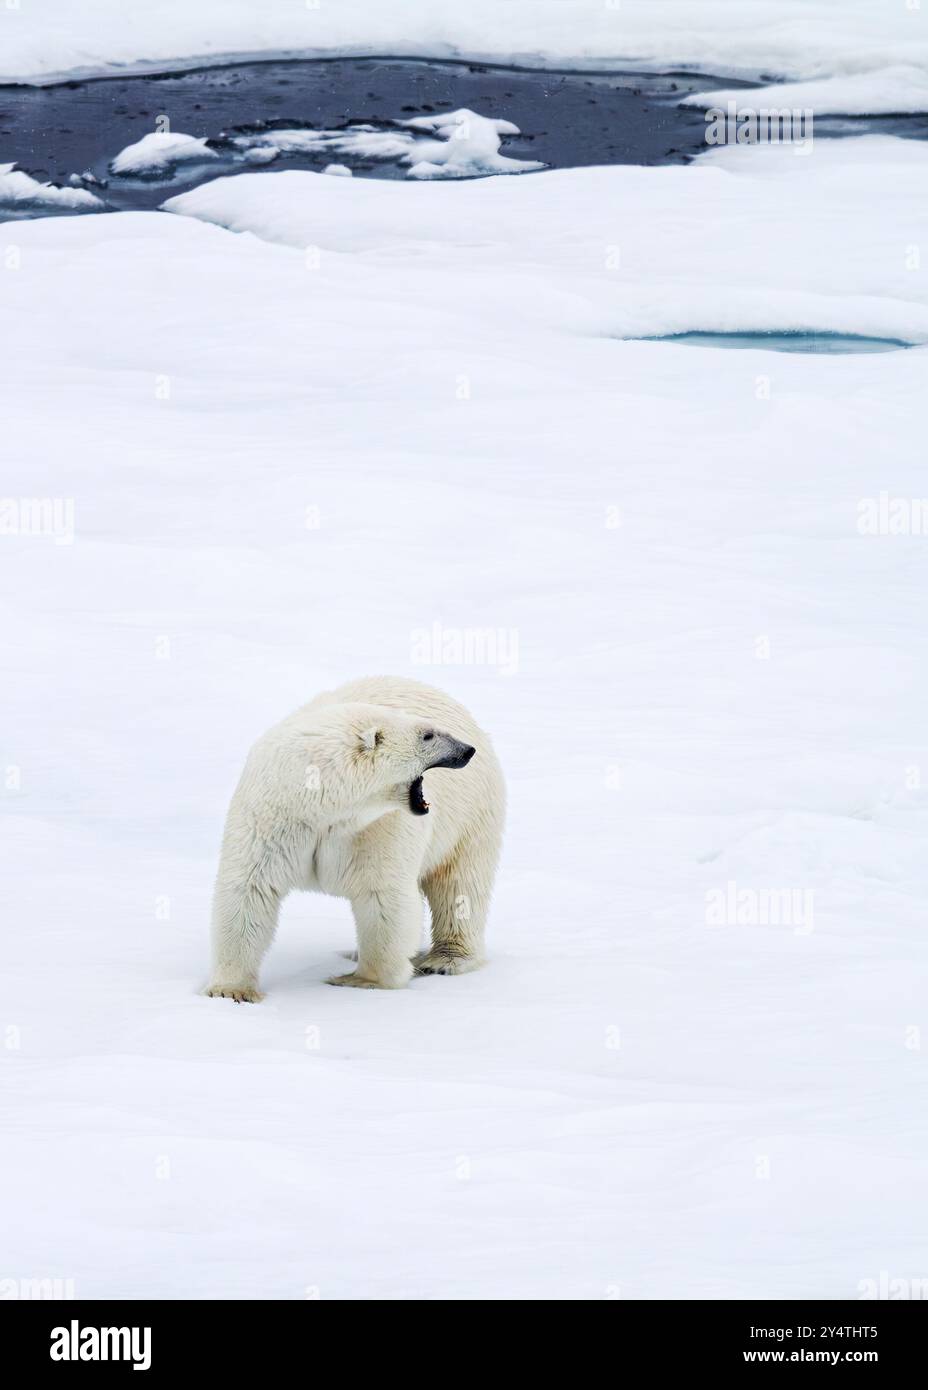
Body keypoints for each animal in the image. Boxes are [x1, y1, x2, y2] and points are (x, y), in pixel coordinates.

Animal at [205, 675, 502, 995]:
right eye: (428, 735)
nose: (466, 750)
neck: (320, 806)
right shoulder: (270, 820)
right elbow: (250, 889)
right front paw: (231, 989)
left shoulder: (375, 828)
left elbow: (382, 894)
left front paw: (362, 980)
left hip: (470, 814)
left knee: (459, 884)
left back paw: (445, 959)